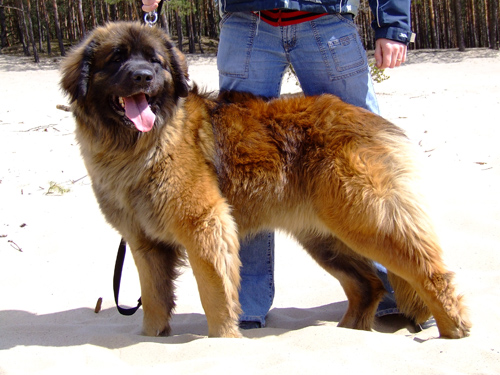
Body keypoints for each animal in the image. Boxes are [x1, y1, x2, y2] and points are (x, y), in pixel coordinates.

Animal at [60, 22, 470, 340]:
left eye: (154, 61)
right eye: (117, 59)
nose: (143, 77)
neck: (144, 142)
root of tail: (369, 118)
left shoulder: (204, 224)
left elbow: (214, 292)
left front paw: (223, 339)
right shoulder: (144, 243)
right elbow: (155, 301)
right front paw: (152, 338)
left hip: (367, 220)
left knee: (429, 272)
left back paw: (453, 329)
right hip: (325, 238)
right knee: (368, 284)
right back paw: (350, 332)